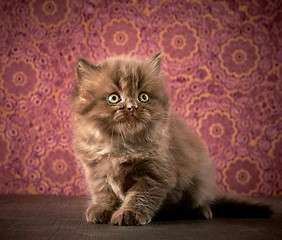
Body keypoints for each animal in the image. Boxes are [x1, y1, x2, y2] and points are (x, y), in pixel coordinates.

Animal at [70, 53, 270, 226]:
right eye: (113, 98)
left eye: (143, 97)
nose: (132, 107)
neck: (121, 145)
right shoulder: (96, 171)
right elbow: (104, 193)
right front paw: (102, 210)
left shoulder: (156, 172)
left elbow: (139, 196)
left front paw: (129, 214)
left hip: (199, 182)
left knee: (201, 200)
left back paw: (202, 211)